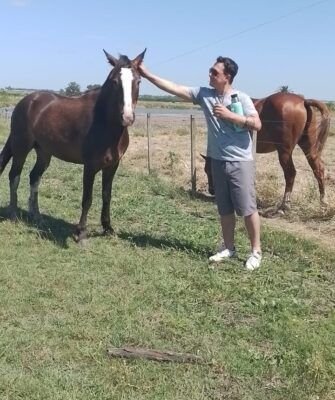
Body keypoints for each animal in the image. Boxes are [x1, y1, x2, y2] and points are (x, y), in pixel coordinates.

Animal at [0, 47, 147, 241]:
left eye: (138, 81)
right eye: (115, 81)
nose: (127, 117)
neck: (104, 123)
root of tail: (27, 101)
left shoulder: (112, 165)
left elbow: (106, 196)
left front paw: (108, 228)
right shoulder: (90, 166)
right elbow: (87, 198)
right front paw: (81, 232)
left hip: (44, 152)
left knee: (34, 177)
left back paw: (36, 215)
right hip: (21, 147)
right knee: (14, 176)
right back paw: (14, 214)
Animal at [202, 92, 330, 211]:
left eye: (208, 170)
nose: (211, 191)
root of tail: (303, 101)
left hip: (285, 152)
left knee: (290, 174)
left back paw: (284, 205)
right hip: (309, 148)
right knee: (318, 170)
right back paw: (322, 201)